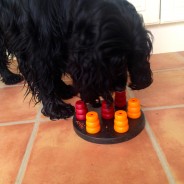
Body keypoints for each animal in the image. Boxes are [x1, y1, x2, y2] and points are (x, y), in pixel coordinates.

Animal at [0, 0, 152, 119]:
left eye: (131, 60)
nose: (120, 87)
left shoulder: (58, 43)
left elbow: (54, 71)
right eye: (113, 63)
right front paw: (56, 108)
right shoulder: (38, 48)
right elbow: (44, 78)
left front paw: (63, 90)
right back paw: (9, 77)